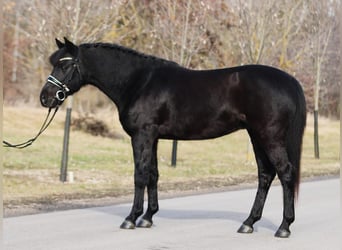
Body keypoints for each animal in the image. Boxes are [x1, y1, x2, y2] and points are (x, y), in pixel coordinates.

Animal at [40, 37, 308, 238]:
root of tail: (289, 81)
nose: (46, 97)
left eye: (65, 65)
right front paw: (148, 217)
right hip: (256, 136)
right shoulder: (154, 137)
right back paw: (249, 223)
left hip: (269, 136)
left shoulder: (142, 135)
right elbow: (153, 175)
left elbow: (139, 175)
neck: (138, 82)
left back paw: (284, 227)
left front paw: (131, 218)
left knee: (285, 173)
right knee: (265, 175)